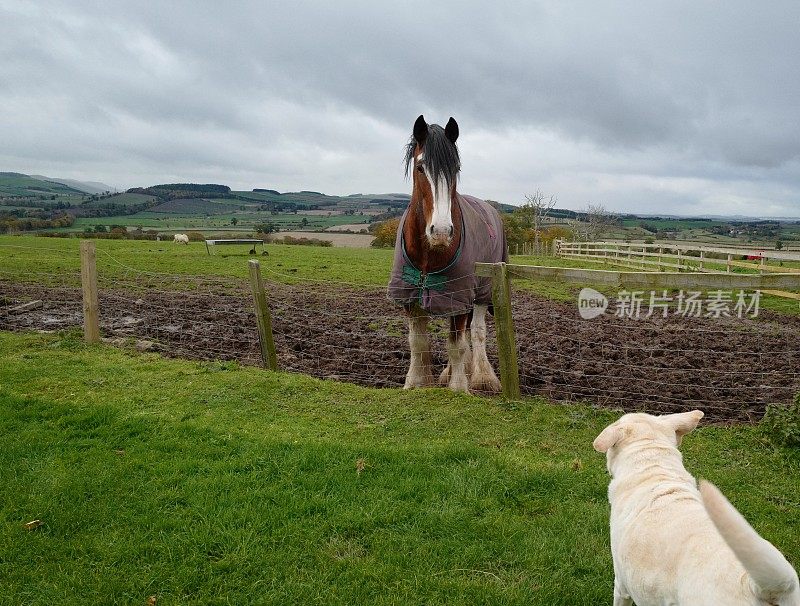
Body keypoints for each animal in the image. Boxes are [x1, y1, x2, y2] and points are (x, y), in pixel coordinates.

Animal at [388, 116, 506, 396]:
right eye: (421, 168)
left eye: (456, 168)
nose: (441, 232)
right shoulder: (411, 296)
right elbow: (418, 342)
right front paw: (416, 382)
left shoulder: (458, 294)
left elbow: (457, 345)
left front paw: (459, 387)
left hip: (482, 291)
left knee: (476, 331)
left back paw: (482, 377)